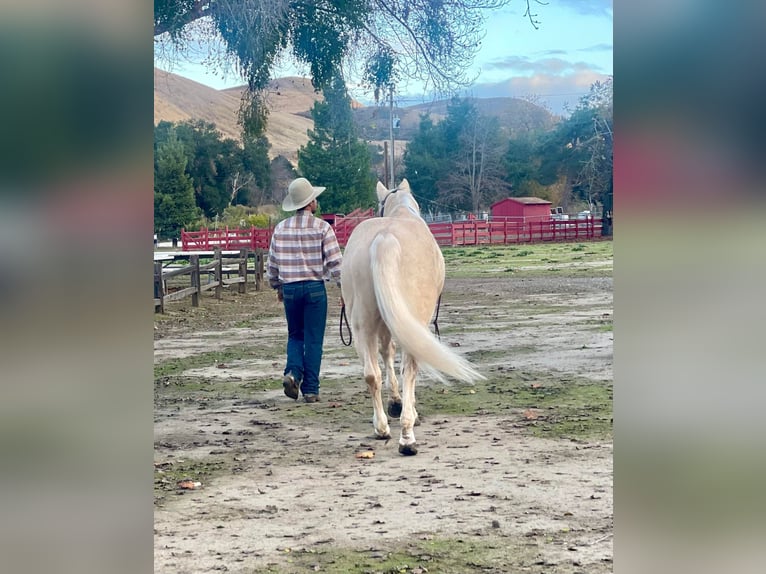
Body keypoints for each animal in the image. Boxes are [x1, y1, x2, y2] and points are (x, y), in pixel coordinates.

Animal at [342, 182, 486, 456]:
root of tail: (384, 239)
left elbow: (387, 354)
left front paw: (395, 403)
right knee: (409, 368)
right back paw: (408, 436)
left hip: (362, 324)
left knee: (371, 374)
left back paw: (381, 428)